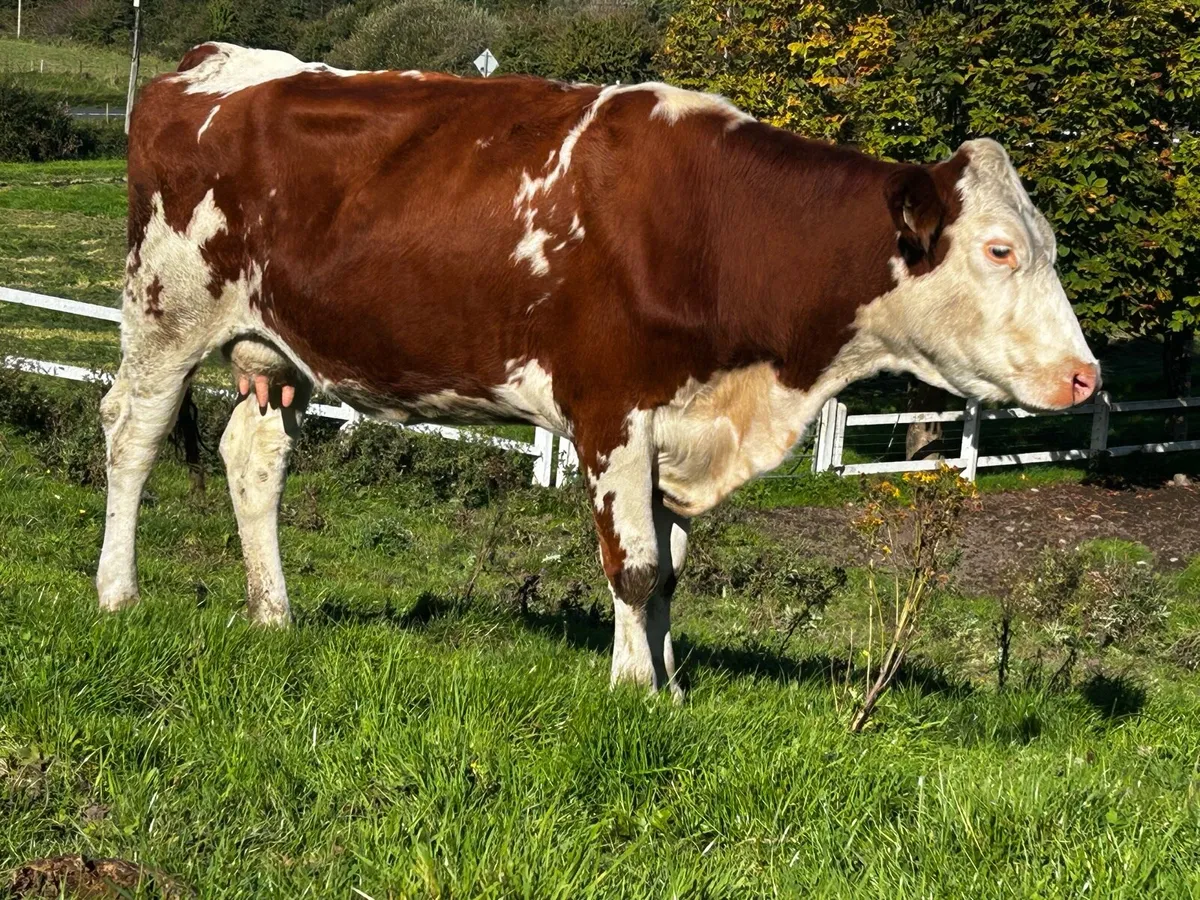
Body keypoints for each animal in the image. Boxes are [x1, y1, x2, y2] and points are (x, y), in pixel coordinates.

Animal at [97, 43, 1099, 698]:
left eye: (1050, 246)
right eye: (1001, 250)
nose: (1086, 377)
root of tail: (211, 61)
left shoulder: (683, 424)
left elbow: (673, 567)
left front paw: (670, 685)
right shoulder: (612, 408)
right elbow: (636, 567)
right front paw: (632, 691)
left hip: (279, 348)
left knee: (252, 459)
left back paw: (273, 614)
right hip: (165, 310)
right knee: (131, 437)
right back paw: (117, 594)